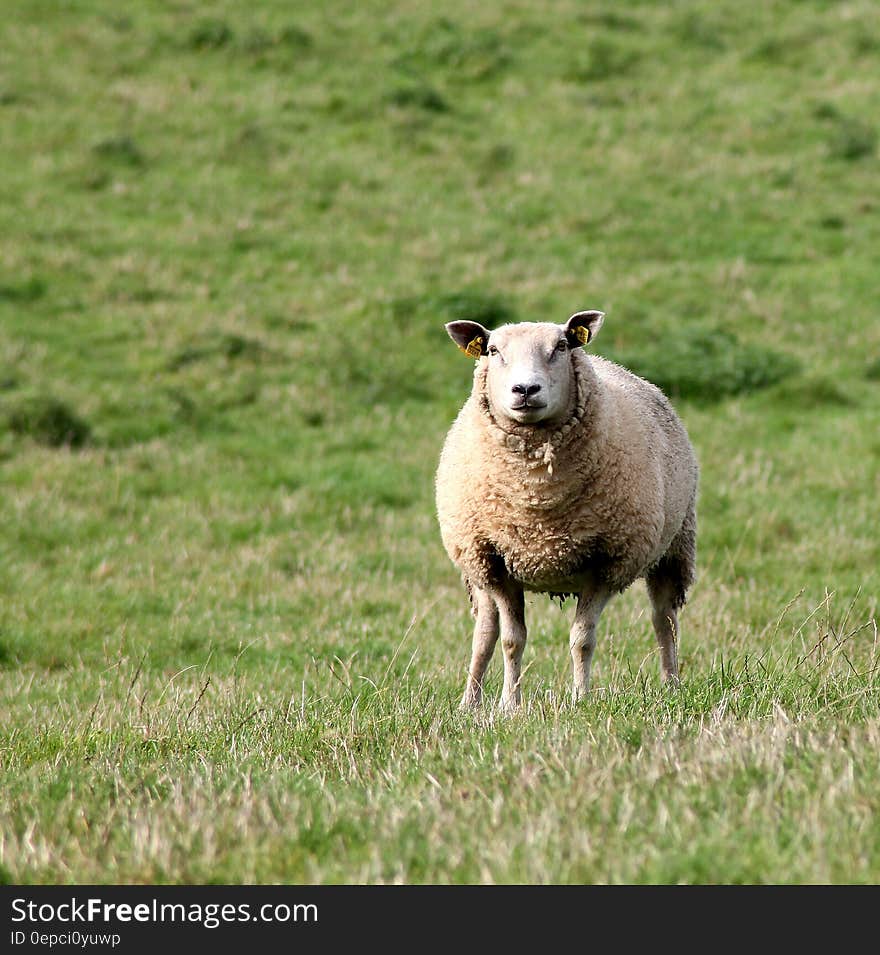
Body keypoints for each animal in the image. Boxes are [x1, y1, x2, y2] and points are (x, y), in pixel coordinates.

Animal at [436, 314, 696, 708]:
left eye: (560, 346)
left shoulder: (607, 562)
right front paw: (509, 704)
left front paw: (580, 699)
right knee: (485, 632)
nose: (525, 389)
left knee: (664, 619)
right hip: (475, 564)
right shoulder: (495, 560)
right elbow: (511, 639)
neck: (538, 500)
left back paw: (672, 686)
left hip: (673, 547)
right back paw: (470, 702)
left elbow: (582, 639)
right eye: (493, 350)